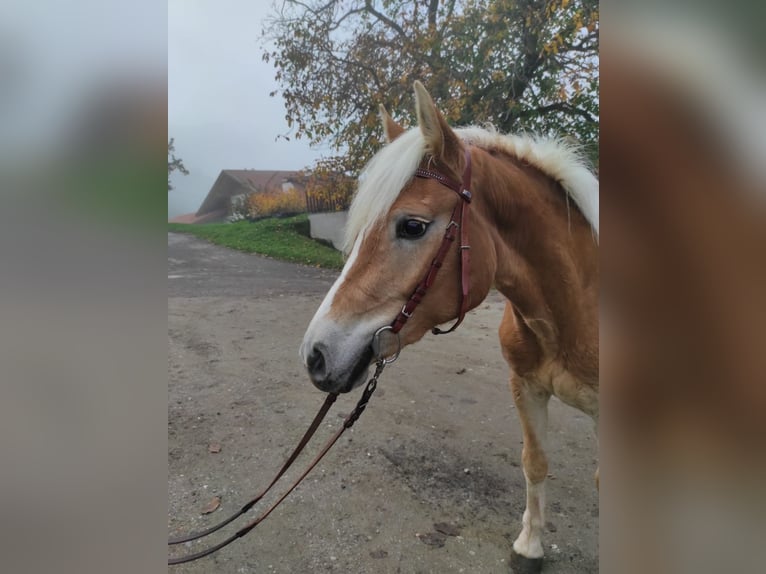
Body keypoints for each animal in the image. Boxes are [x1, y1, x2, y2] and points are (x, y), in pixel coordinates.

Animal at [300, 82, 600, 574]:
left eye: (413, 226)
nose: (316, 355)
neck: (573, 312)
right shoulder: (526, 386)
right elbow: (535, 462)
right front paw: (529, 546)